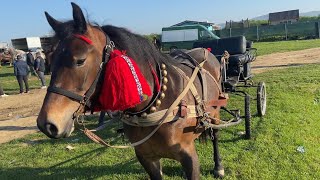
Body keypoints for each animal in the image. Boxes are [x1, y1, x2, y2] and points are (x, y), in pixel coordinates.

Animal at [37, 2, 225, 179]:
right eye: (50, 60)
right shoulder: (147, 158)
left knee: (215, 134)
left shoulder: (189, 157)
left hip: (215, 114)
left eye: (80, 60)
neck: (155, 105)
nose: (47, 124)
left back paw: (218, 166)